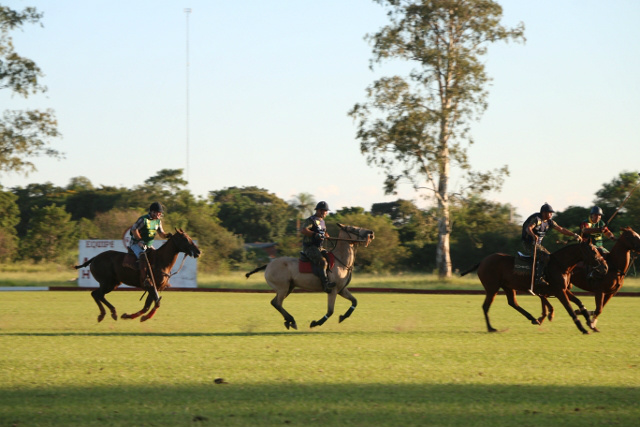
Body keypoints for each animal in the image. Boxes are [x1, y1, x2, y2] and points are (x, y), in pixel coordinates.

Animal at [245, 224, 376, 332]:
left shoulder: (342, 289)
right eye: (353, 228)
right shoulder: (332, 290)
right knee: (277, 303)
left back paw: (289, 321)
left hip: (289, 287)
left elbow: (355, 301)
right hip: (283, 287)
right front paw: (315, 323)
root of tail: (268, 264)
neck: (341, 262)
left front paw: (343, 317)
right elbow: (330, 311)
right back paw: (292, 320)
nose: (371, 232)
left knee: (274, 302)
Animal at [460, 242, 604, 336]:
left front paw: (590, 323)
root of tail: (482, 261)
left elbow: (579, 302)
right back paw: (491, 328)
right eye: (593, 251)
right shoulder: (559, 291)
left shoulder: (563, 289)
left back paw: (533, 318)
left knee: (512, 302)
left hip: (508, 286)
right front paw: (583, 328)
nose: (604, 266)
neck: (560, 265)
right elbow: (569, 309)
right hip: (492, 287)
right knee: (486, 306)